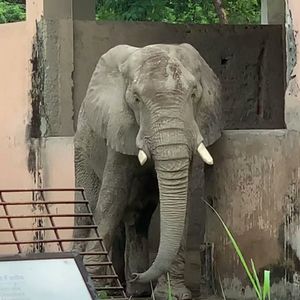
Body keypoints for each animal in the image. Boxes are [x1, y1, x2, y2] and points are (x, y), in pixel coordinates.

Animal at [73, 42, 223, 300]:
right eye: (136, 99)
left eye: (194, 94)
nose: (137, 276)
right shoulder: (119, 125)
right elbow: (112, 198)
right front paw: (94, 284)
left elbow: (182, 202)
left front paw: (173, 295)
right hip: (81, 149)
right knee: (90, 207)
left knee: (137, 217)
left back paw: (136, 290)